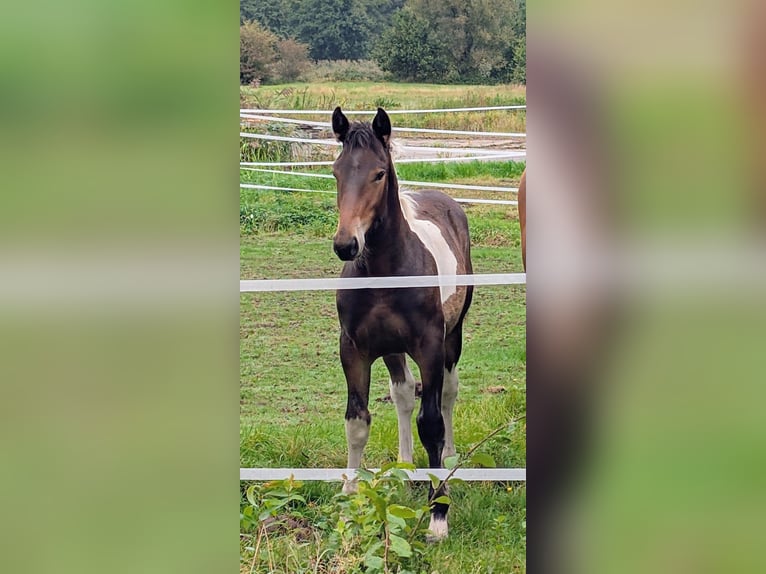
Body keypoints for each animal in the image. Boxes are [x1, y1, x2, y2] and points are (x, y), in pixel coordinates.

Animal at [330, 107, 473, 541]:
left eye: (379, 173)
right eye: (336, 172)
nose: (346, 244)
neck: (384, 271)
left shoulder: (429, 346)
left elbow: (432, 422)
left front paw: (439, 515)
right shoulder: (354, 349)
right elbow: (357, 422)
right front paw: (349, 502)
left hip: (453, 337)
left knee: (447, 396)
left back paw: (449, 458)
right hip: (392, 349)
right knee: (405, 393)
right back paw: (406, 466)